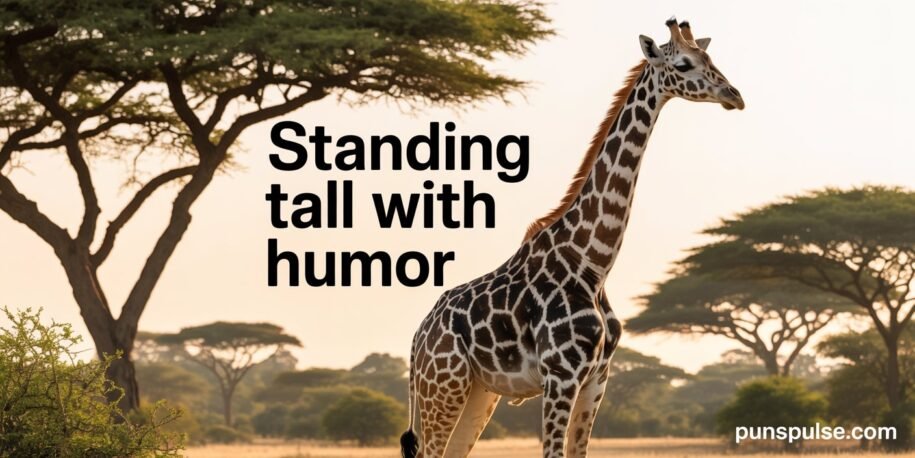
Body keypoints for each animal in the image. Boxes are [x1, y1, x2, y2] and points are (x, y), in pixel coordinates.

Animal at [400, 18, 744, 458]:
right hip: (443, 387)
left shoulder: (598, 377)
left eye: (710, 58)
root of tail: (417, 339)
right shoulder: (561, 374)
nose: (735, 96)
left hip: (479, 393)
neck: (593, 263)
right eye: (683, 64)